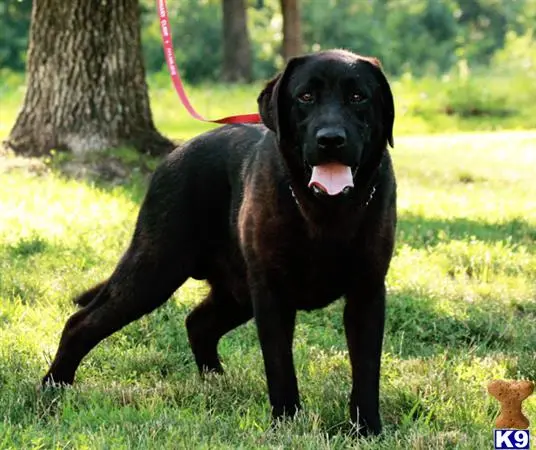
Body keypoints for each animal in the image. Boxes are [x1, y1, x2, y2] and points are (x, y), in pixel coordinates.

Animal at [44, 49, 396, 436]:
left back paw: (216, 381)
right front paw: (286, 421)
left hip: (235, 293)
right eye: (305, 97)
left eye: (358, 97)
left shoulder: (367, 292)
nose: (330, 139)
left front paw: (368, 429)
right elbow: (280, 366)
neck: (326, 213)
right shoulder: (271, 294)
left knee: (197, 322)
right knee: (81, 322)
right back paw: (52, 389)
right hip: (156, 269)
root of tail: (174, 155)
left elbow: (366, 368)